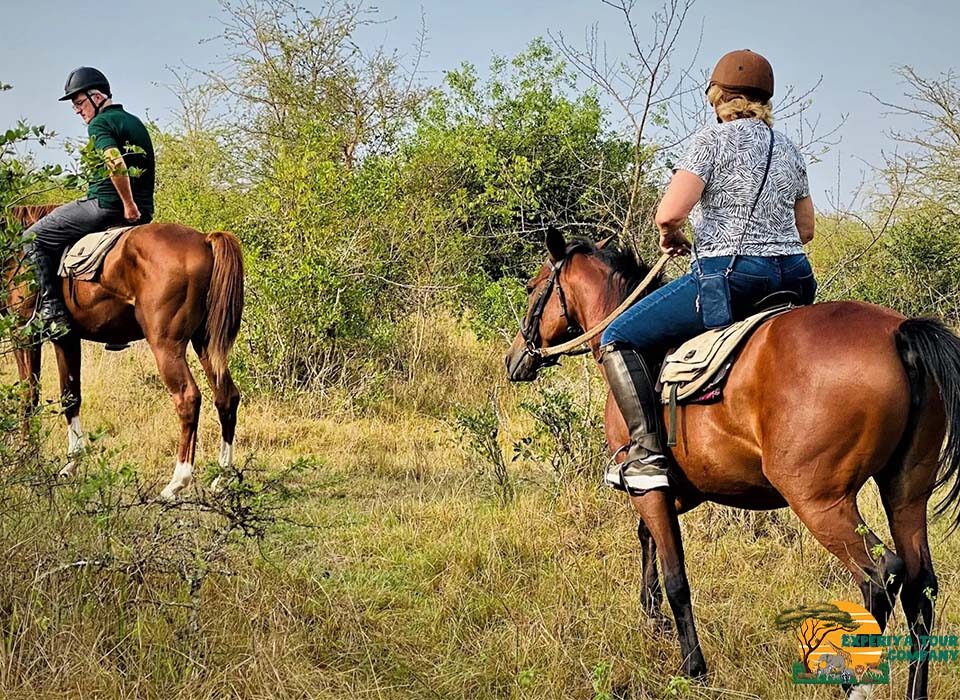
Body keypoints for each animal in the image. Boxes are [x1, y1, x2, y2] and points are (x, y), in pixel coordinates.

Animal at [6, 205, 243, 500]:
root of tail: (204, 239)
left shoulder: (23, 334)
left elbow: (28, 397)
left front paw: (24, 458)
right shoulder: (66, 339)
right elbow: (70, 396)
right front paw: (71, 464)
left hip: (166, 344)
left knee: (188, 398)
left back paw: (176, 482)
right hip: (205, 343)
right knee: (227, 397)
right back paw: (222, 478)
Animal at [504, 227, 960, 700]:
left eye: (532, 288)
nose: (515, 359)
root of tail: (898, 332)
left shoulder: (650, 485)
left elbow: (675, 575)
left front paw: (692, 666)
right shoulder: (675, 489)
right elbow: (647, 538)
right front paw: (652, 615)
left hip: (819, 500)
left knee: (880, 575)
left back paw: (853, 681)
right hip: (906, 491)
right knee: (920, 588)